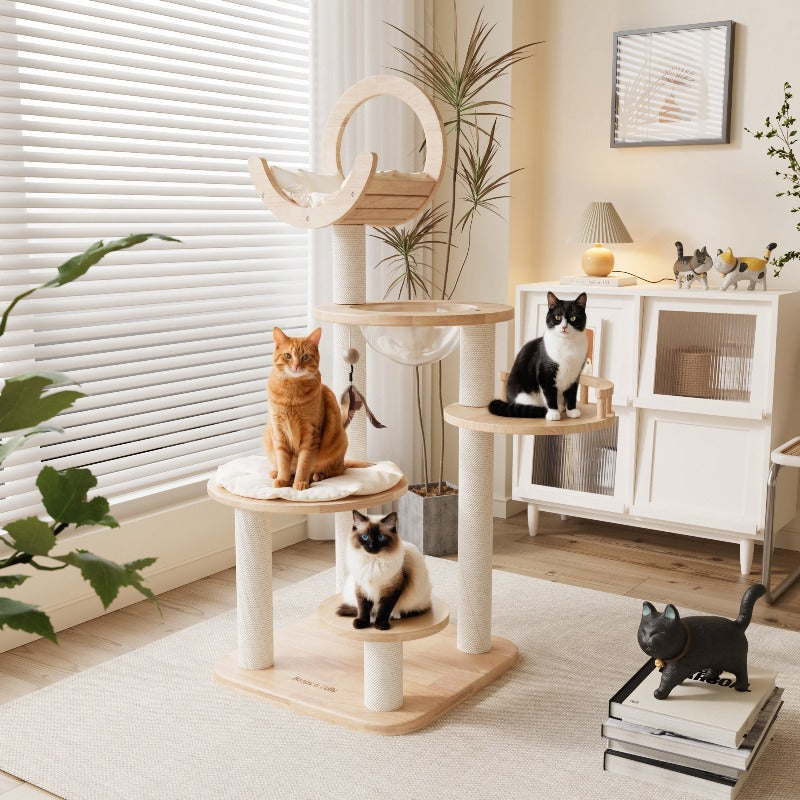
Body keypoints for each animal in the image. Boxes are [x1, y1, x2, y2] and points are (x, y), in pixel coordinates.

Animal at [264, 324, 348, 488]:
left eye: (305, 357)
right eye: (287, 356)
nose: (296, 366)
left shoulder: (311, 434)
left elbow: (304, 463)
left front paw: (300, 482)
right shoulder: (279, 432)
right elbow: (283, 461)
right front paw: (283, 480)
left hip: (340, 443)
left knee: (335, 472)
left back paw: (317, 476)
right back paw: (277, 474)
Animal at [488, 290, 588, 422]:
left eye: (573, 318)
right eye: (557, 317)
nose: (564, 327)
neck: (567, 344)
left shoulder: (575, 374)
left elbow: (572, 393)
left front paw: (572, 411)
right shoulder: (545, 373)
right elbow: (549, 393)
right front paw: (553, 413)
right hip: (524, 393)